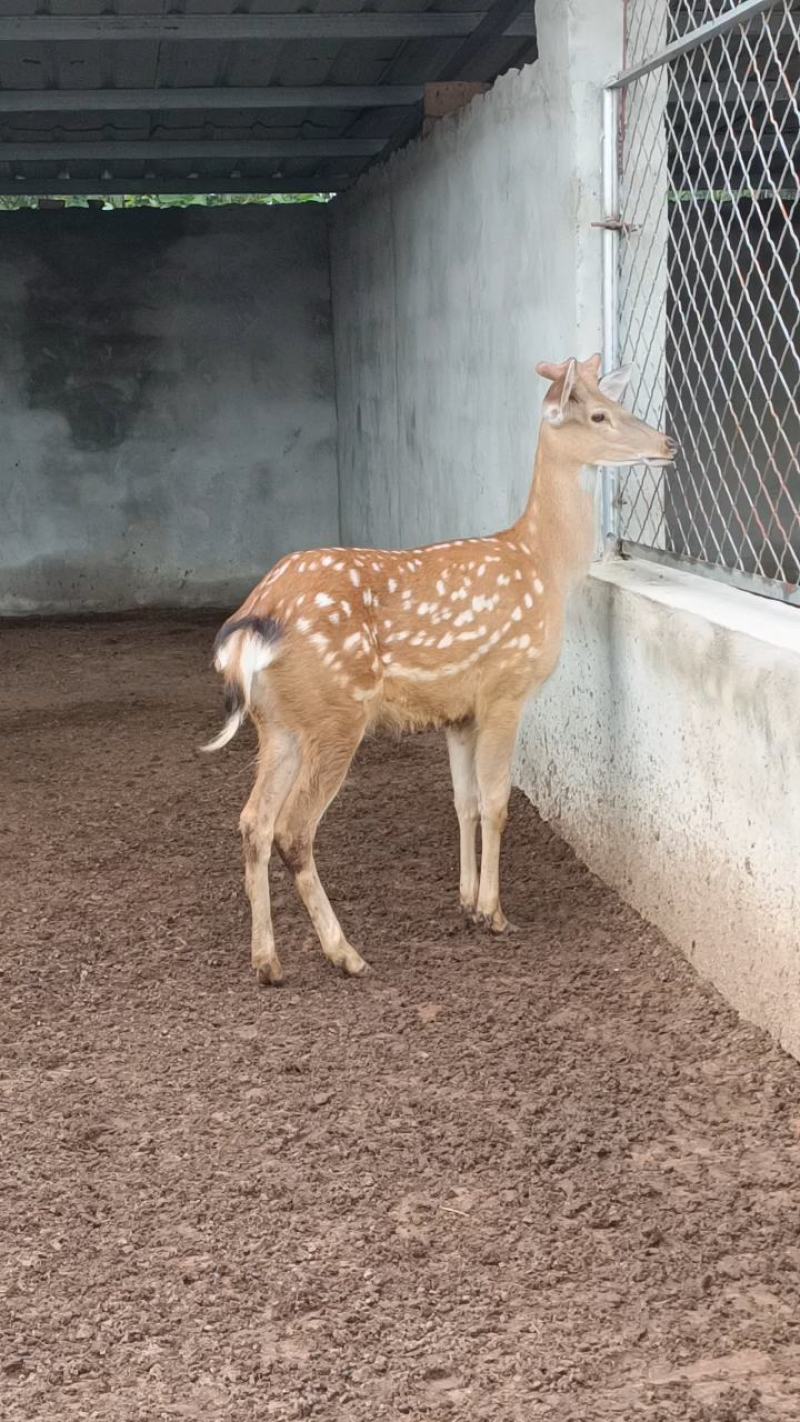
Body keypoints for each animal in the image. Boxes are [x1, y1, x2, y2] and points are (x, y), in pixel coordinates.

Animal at [202, 354, 675, 986]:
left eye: (616, 403)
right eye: (599, 414)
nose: (668, 443)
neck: (545, 565)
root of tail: (254, 617)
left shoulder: (459, 712)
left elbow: (464, 800)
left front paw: (467, 901)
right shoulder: (505, 688)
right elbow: (497, 800)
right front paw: (496, 913)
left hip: (279, 724)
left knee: (253, 821)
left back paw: (268, 963)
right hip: (336, 714)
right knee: (292, 829)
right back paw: (345, 953)